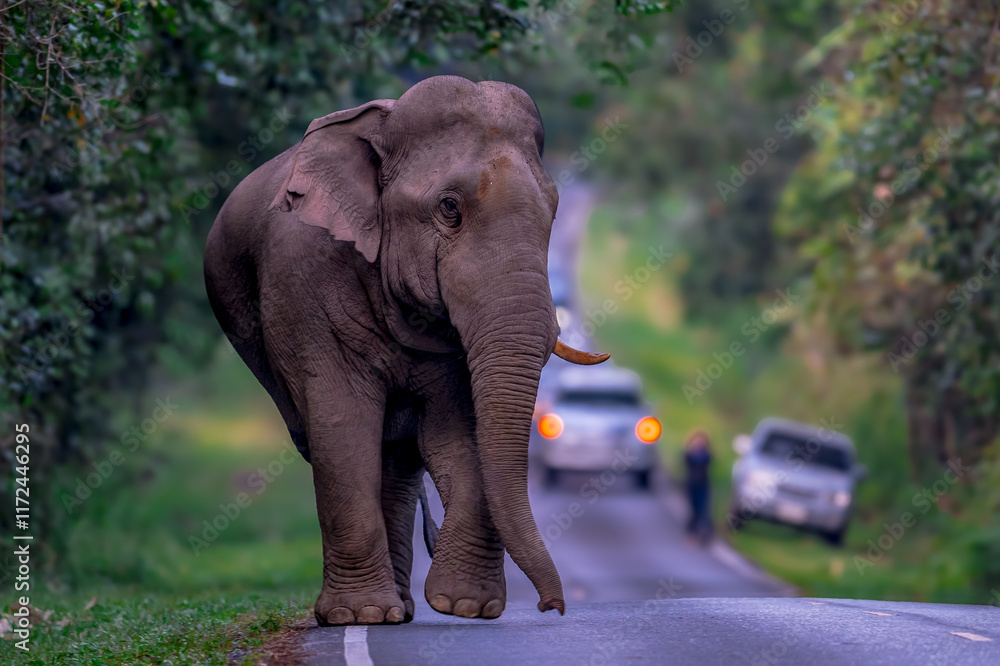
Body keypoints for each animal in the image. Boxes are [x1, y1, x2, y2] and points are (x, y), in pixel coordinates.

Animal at [203, 75, 609, 626]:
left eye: (553, 210)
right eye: (449, 208)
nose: (553, 607)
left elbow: (458, 428)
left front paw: (466, 606)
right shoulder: (303, 278)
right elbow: (342, 421)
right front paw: (356, 617)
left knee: (397, 459)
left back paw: (402, 607)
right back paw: (379, 612)